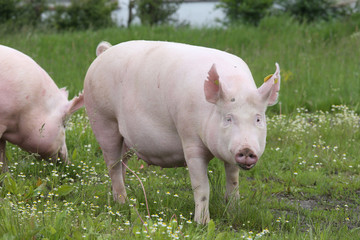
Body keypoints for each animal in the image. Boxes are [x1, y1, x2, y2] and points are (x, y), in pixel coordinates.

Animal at [84, 40, 282, 223]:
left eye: (258, 119)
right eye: (228, 118)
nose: (247, 150)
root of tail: (104, 53)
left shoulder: (230, 153)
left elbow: (233, 179)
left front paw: (234, 212)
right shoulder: (189, 138)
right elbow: (201, 185)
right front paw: (203, 223)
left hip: (125, 139)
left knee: (122, 163)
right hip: (103, 119)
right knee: (113, 164)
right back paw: (123, 202)